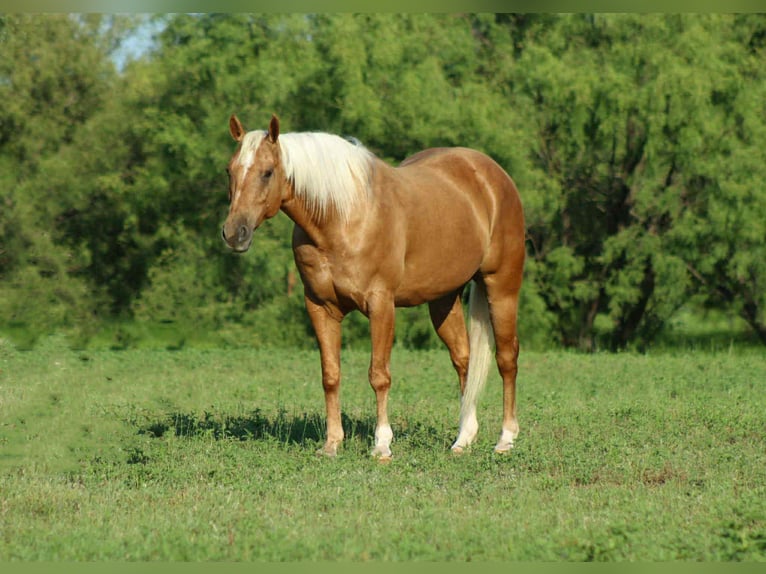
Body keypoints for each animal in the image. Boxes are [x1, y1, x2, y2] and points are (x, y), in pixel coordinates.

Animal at [222, 114, 525, 460]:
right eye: (229, 170)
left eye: (268, 172)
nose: (234, 233)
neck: (342, 217)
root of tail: (492, 175)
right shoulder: (319, 307)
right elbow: (330, 375)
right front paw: (332, 443)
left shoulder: (381, 305)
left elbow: (379, 375)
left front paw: (382, 444)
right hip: (444, 298)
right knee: (464, 359)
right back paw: (463, 438)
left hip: (502, 286)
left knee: (506, 358)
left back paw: (505, 439)